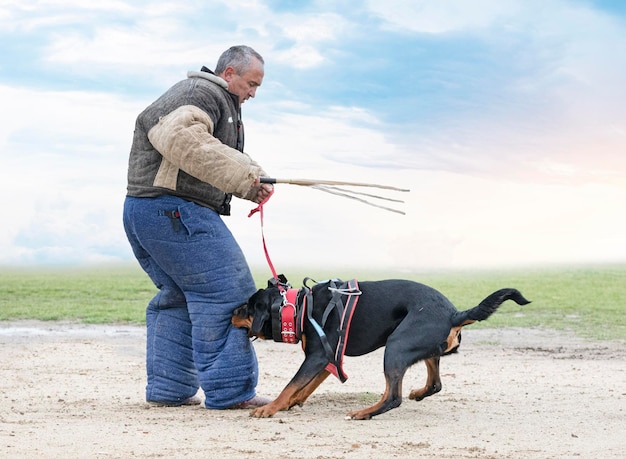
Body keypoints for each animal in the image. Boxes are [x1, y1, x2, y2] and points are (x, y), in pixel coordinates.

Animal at [232, 276, 528, 420]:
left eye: (247, 307)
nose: (232, 312)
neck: (297, 307)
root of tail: (454, 313)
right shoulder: (328, 357)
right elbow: (305, 386)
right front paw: (291, 403)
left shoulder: (316, 357)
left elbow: (291, 384)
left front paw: (271, 408)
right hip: (419, 349)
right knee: (433, 384)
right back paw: (416, 393)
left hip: (395, 347)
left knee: (393, 396)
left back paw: (364, 413)